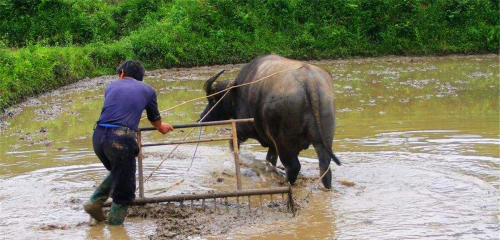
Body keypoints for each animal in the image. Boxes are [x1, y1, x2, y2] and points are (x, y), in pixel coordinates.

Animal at [199, 54, 340, 189]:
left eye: (212, 99)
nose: (202, 117)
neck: (236, 92)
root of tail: (310, 82)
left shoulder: (241, 130)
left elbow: (233, 147)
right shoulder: (272, 145)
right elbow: (270, 160)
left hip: (284, 142)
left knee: (293, 167)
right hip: (323, 138)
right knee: (324, 168)